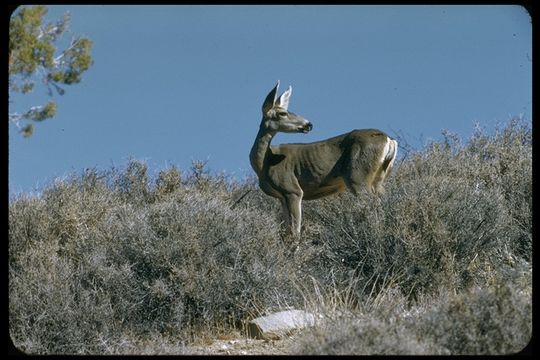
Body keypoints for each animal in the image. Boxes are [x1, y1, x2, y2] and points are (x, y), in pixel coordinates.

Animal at [249, 83, 396, 238]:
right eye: (282, 113)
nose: (308, 124)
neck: (265, 163)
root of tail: (389, 139)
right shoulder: (281, 197)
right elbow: (288, 230)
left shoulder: (292, 189)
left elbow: (295, 231)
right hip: (379, 178)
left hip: (357, 175)